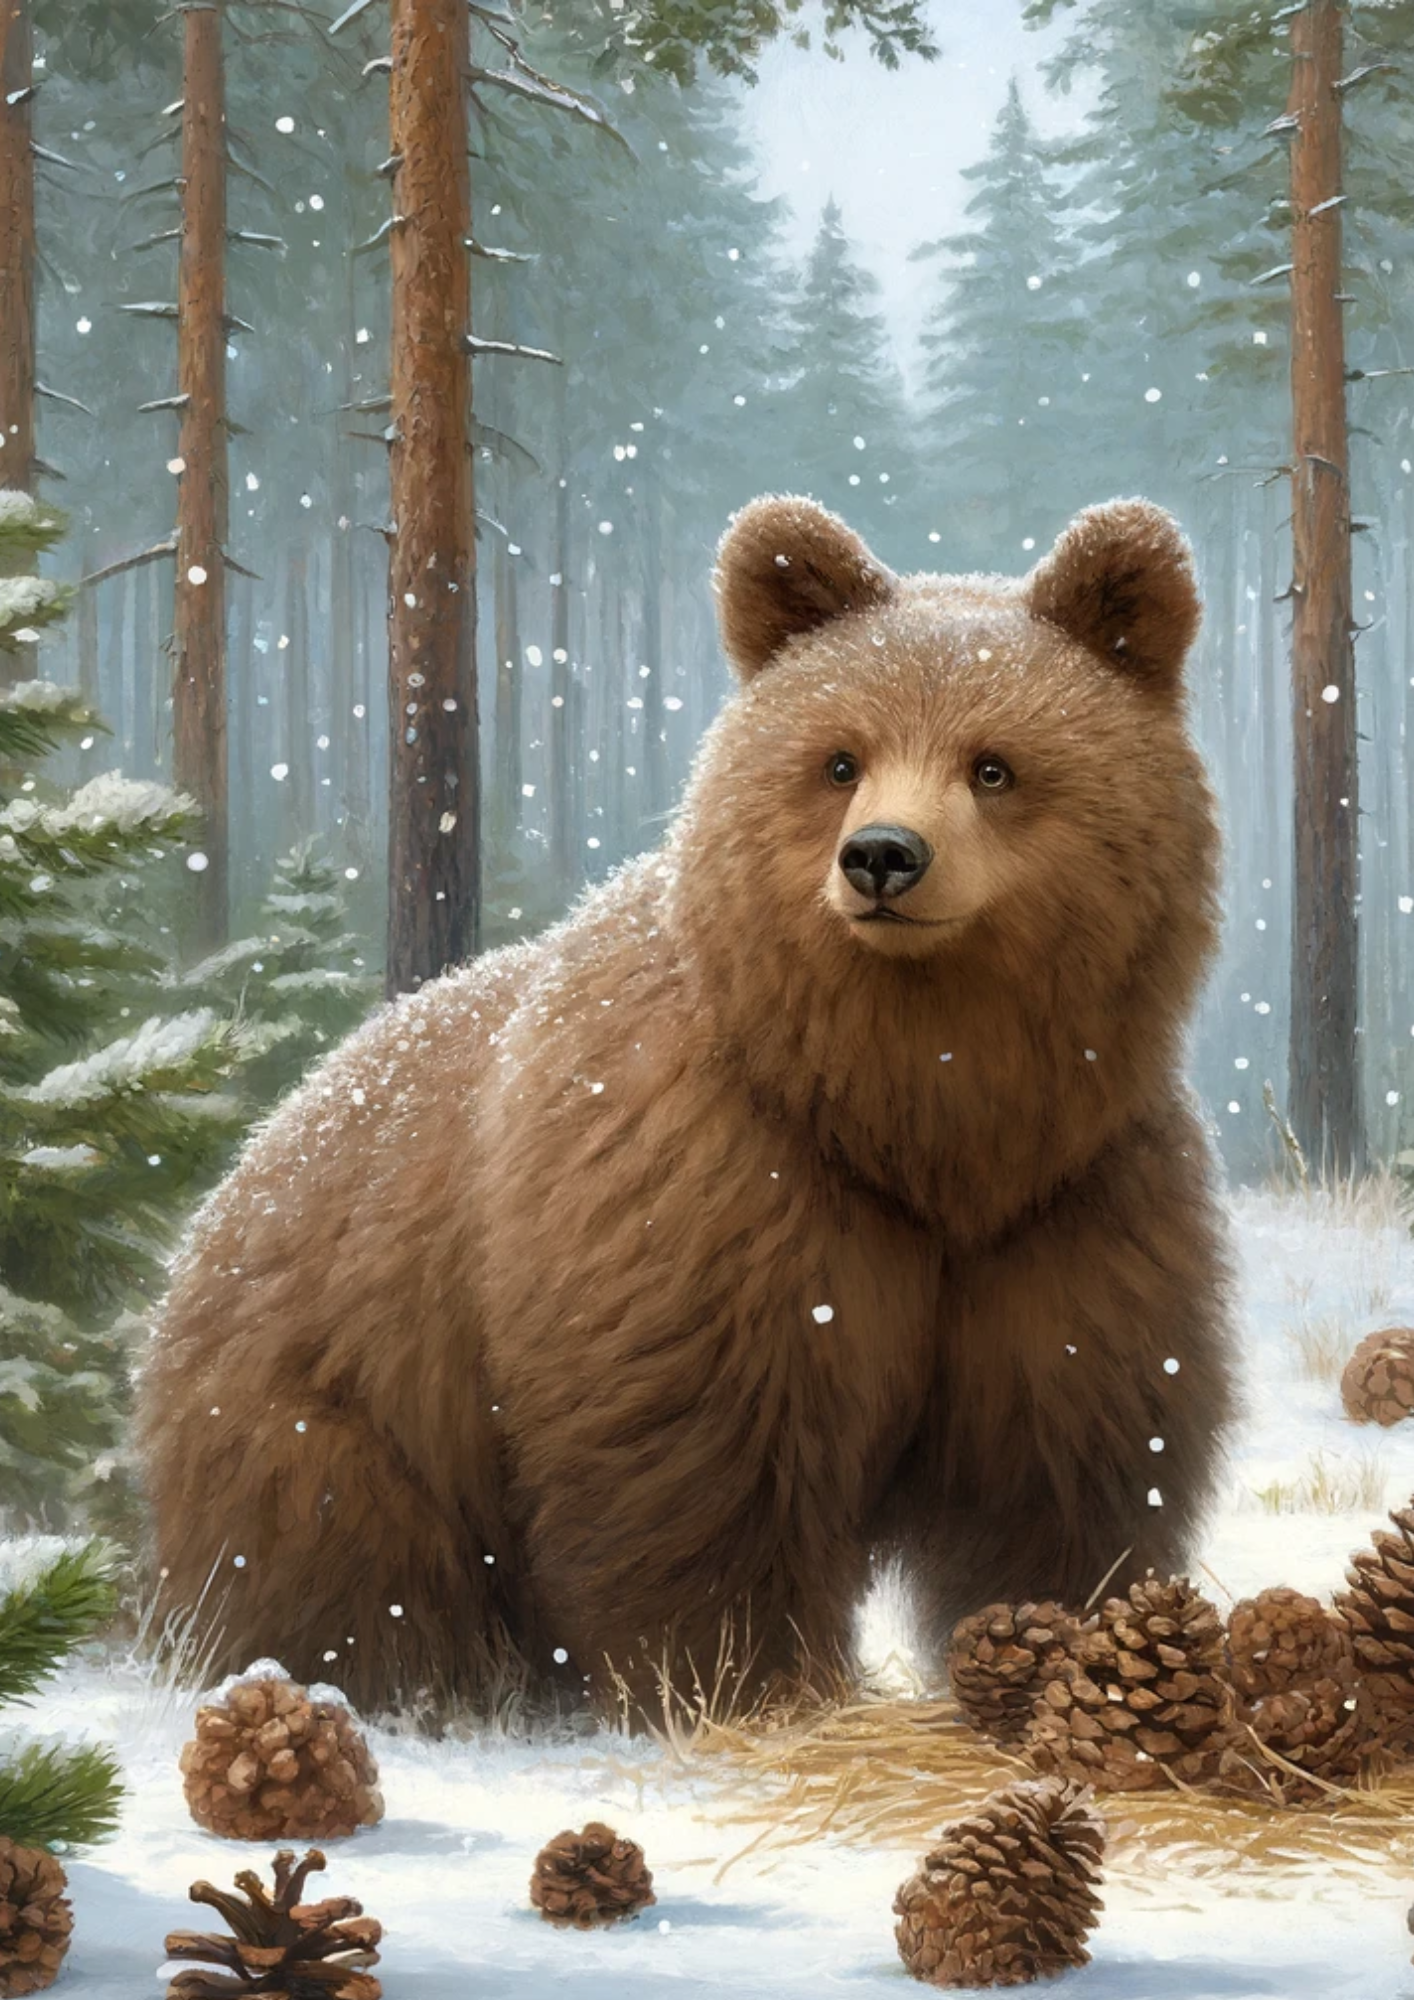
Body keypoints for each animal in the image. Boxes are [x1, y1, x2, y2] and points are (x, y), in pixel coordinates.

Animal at [138, 493, 1235, 1717]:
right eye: (839, 757)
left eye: (993, 765)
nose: (883, 857)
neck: (913, 1122)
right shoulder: (713, 1188)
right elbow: (706, 1458)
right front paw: (740, 1682)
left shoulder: (1068, 1208)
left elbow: (1059, 1460)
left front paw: (1062, 1649)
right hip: (330, 1404)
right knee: (345, 1554)